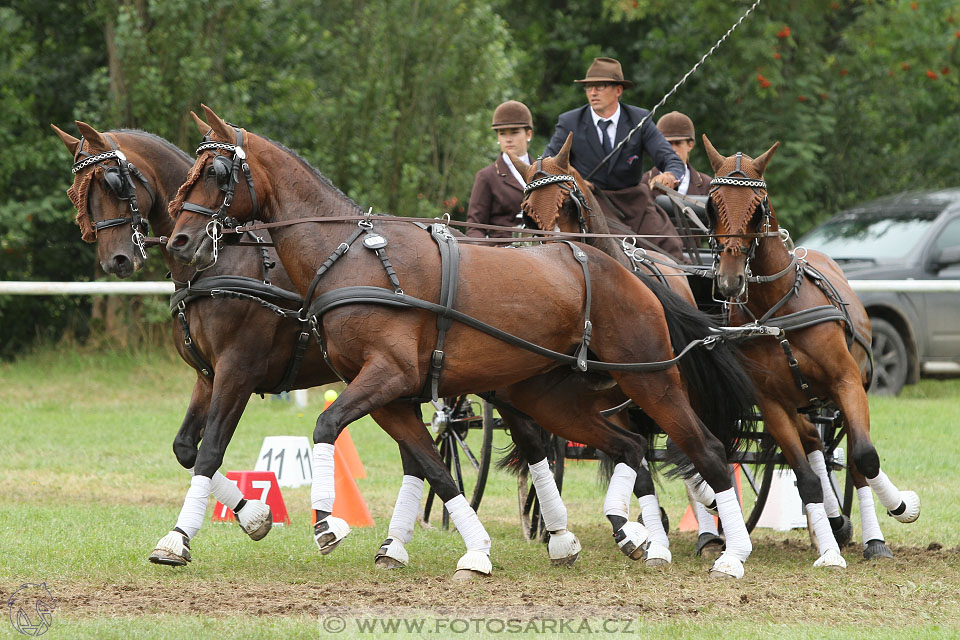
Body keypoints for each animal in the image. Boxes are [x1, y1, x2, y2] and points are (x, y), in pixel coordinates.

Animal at [165, 106, 760, 580]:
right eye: (190, 173)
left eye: (217, 173)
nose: (180, 242)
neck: (351, 256)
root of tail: (633, 270)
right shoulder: (392, 397)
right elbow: (433, 468)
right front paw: (473, 550)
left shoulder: (379, 376)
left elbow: (321, 426)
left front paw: (326, 522)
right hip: (550, 396)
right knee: (629, 447)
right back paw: (630, 534)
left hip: (650, 379)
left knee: (706, 451)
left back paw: (728, 552)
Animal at [700, 138, 920, 564]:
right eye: (712, 204)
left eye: (759, 208)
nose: (730, 280)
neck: (779, 309)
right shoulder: (771, 403)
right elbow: (806, 478)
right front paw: (830, 548)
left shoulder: (846, 382)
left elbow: (865, 456)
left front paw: (900, 506)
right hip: (799, 403)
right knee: (815, 445)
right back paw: (832, 524)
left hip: (847, 390)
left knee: (854, 460)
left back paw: (873, 537)